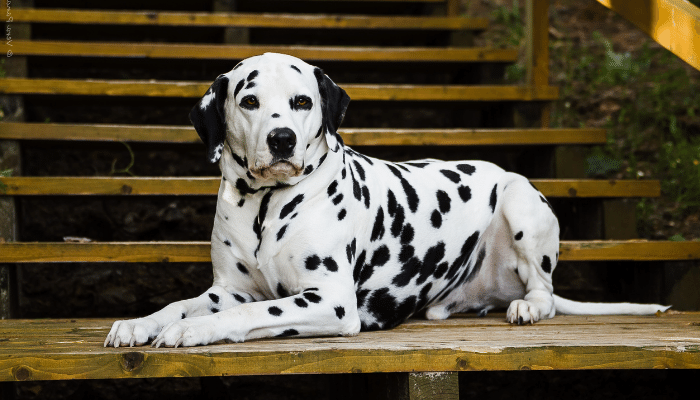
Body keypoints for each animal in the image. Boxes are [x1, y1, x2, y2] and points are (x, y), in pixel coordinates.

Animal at [104, 52, 668, 346]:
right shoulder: (229, 290)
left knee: (546, 293)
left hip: (520, 200)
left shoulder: (330, 302)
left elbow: (248, 316)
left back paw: (528, 306)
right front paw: (141, 323)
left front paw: (192, 331)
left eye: (301, 101)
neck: (267, 206)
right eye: (248, 100)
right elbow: (181, 304)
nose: (282, 140)